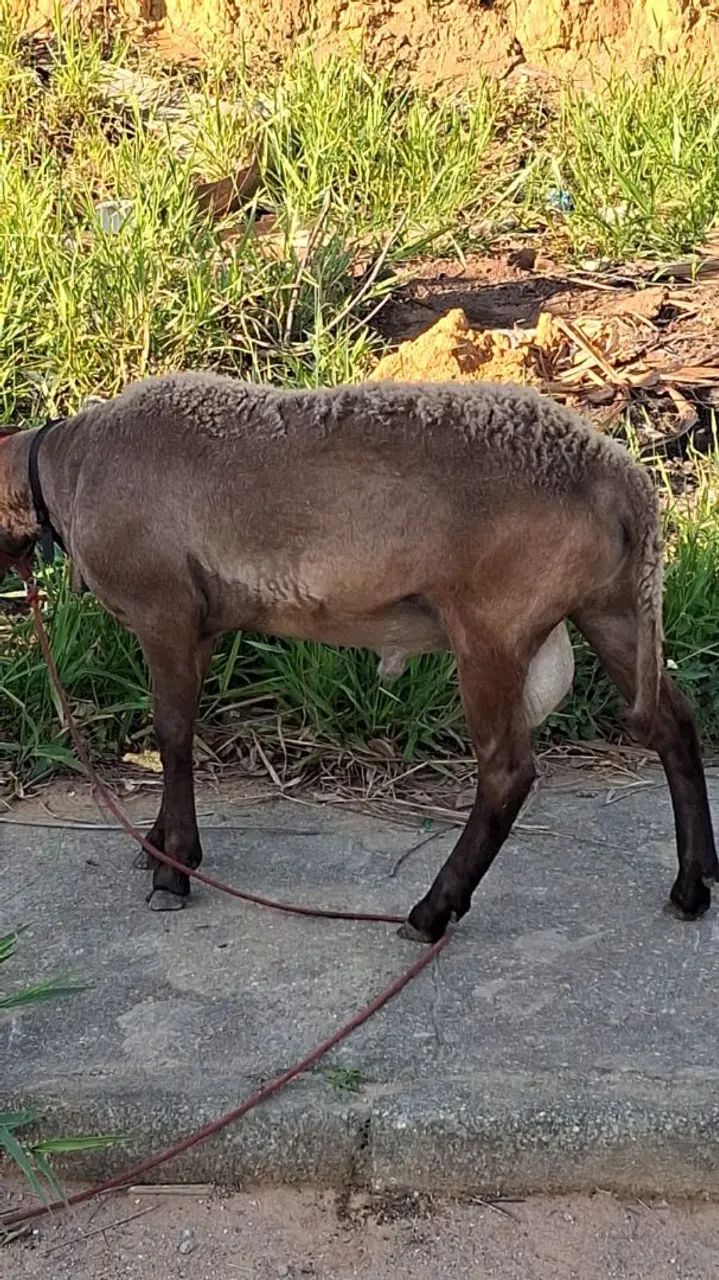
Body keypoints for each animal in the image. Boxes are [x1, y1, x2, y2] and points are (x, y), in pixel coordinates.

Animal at [0, 374, 715, 941]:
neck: (66, 470)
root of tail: (627, 482)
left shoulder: (165, 612)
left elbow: (172, 735)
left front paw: (172, 869)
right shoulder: (199, 627)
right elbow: (179, 728)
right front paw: (158, 849)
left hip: (494, 623)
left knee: (507, 771)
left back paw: (431, 912)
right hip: (610, 606)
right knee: (671, 722)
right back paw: (693, 885)